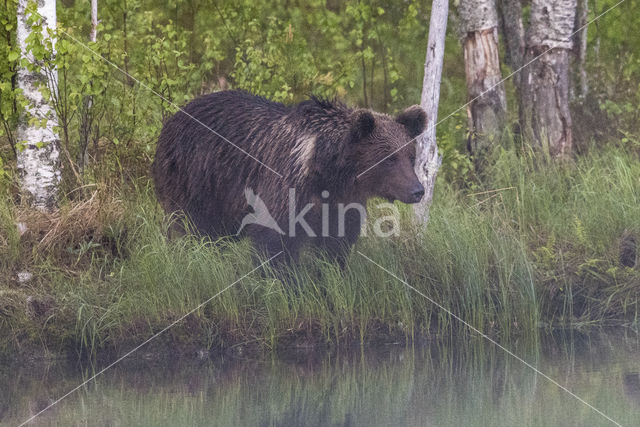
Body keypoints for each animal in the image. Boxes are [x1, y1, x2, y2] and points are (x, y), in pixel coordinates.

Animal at [152, 91, 428, 268]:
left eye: (410, 156)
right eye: (389, 158)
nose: (418, 190)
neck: (329, 173)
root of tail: (173, 118)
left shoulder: (341, 204)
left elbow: (336, 244)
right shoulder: (286, 186)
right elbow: (275, 241)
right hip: (194, 179)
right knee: (191, 227)